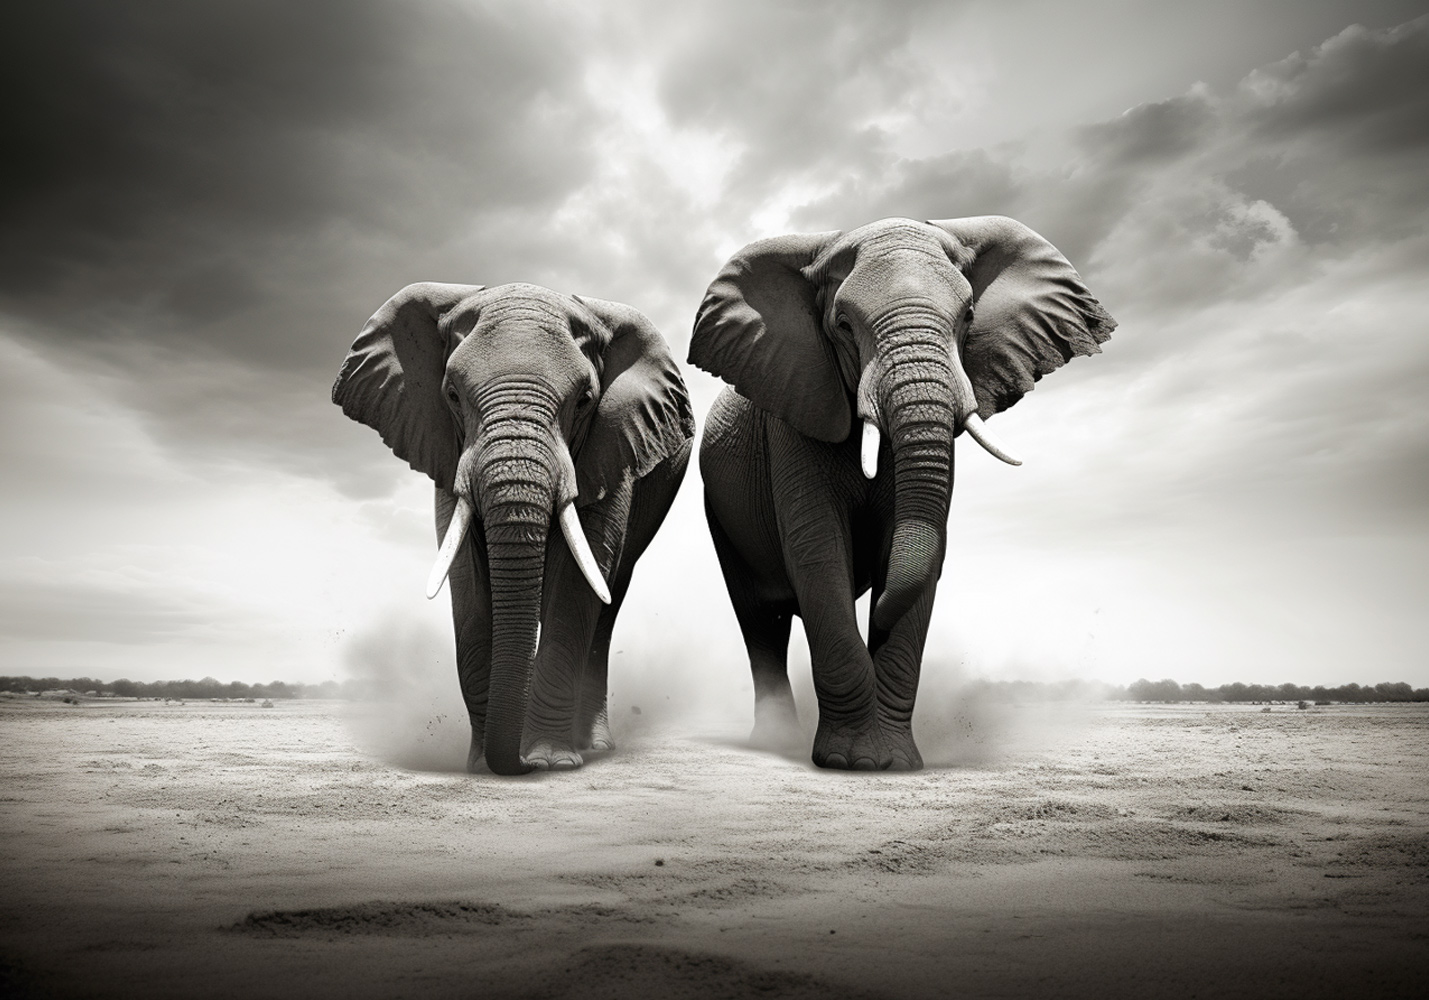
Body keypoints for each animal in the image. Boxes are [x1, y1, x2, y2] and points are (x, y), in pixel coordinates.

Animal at [333, 282, 694, 775]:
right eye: (451, 394)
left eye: (585, 400)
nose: (520, 763)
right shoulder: (446, 450)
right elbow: (467, 579)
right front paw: (482, 764)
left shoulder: (612, 446)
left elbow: (577, 582)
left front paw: (551, 760)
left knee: (608, 600)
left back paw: (594, 747)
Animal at [689, 216, 1114, 771]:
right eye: (843, 325)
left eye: (968, 317)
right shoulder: (795, 413)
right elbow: (818, 553)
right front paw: (849, 763)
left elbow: (922, 552)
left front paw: (892, 763)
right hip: (719, 509)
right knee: (762, 620)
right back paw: (773, 741)